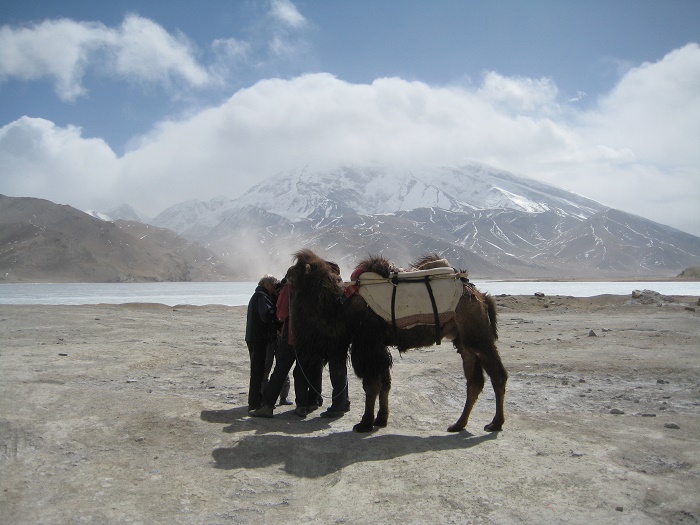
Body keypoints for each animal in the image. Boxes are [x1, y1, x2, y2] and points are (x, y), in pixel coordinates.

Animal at [286, 248, 508, 432]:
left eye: (297, 271)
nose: (286, 275)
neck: (340, 306)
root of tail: (481, 296)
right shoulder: (378, 347)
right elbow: (385, 383)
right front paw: (381, 420)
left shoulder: (367, 344)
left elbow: (372, 385)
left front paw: (364, 423)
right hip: (463, 342)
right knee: (474, 381)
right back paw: (458, 424)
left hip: (479, 338)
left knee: (498, 376)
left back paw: (495, 423)